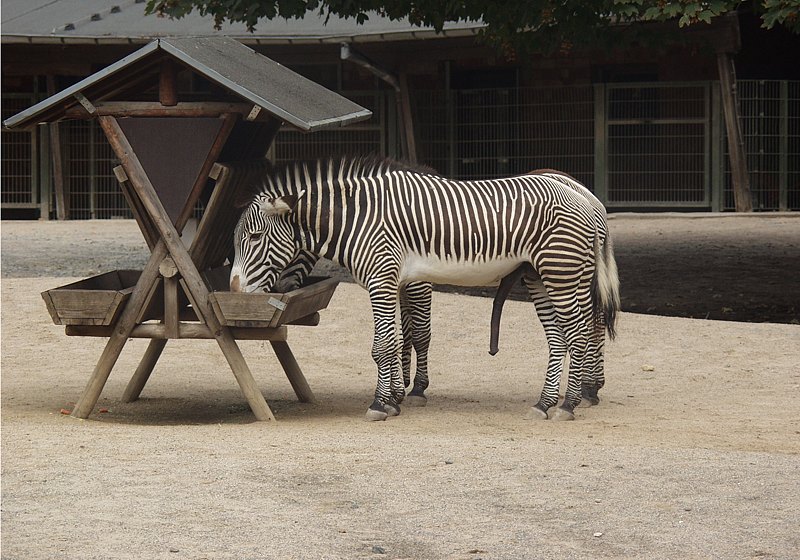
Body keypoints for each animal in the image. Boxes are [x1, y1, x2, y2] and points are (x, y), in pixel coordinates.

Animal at [231, 155, 620, 422]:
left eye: (255, 237)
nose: (234, 289)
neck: (358, 219)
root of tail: (584, 198)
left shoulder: (384, 278)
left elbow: (388, 343)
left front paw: (382, 403)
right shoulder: (394, 280)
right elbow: (396, 340)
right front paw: (394, 399)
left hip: (561, 271)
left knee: (581, 332)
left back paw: (570, 403)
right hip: (540, 275)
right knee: (562, 338)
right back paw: (546, 402)